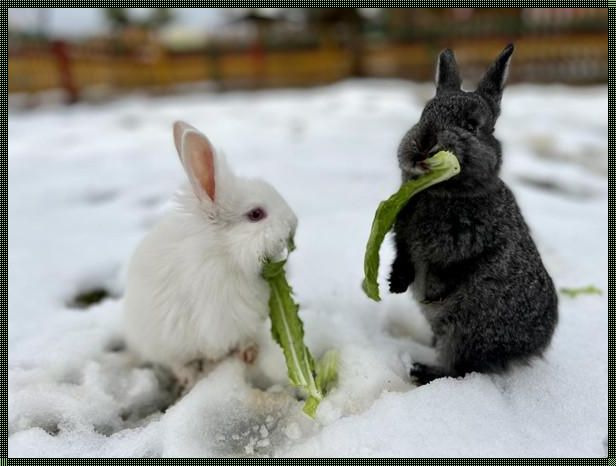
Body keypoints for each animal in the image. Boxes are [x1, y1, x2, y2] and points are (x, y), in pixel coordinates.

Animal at [390, 44, 560, 386]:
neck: (441, 192)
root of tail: (535, 345)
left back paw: (422, 371)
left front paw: (432, 294)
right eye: (424, 114)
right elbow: (403, 255)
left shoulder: (473, 247)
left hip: (467, 331)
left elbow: (455, 270)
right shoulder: (403, 234)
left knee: (461, 368)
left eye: (471, 126)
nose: (424, 143)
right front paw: (396, 283)